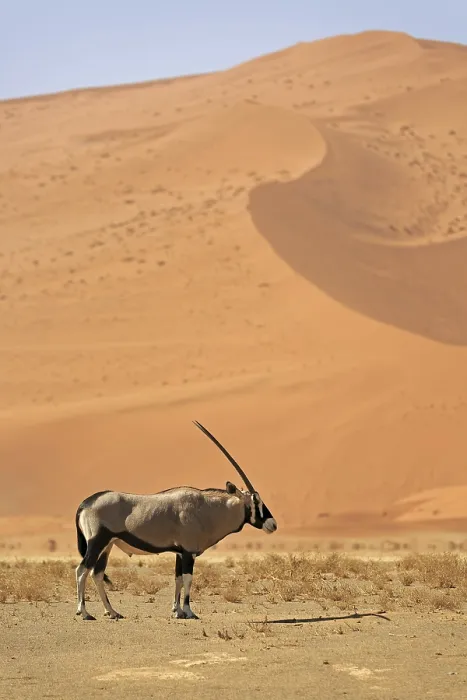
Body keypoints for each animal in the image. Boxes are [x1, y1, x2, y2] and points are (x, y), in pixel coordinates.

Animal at [75, 420, 277, 620]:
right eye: (255, 501)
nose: (273, 524)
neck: (206, 508)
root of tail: (86, 503)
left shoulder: (180, 553)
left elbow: (178, 579)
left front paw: (177, 611)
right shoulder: (189, 552)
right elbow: (188, 579)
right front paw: (188, 611)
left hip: (107, 545)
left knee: (97, 573)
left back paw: (112, 611)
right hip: (97, 542)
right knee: (82, 570)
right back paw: (84, 612)